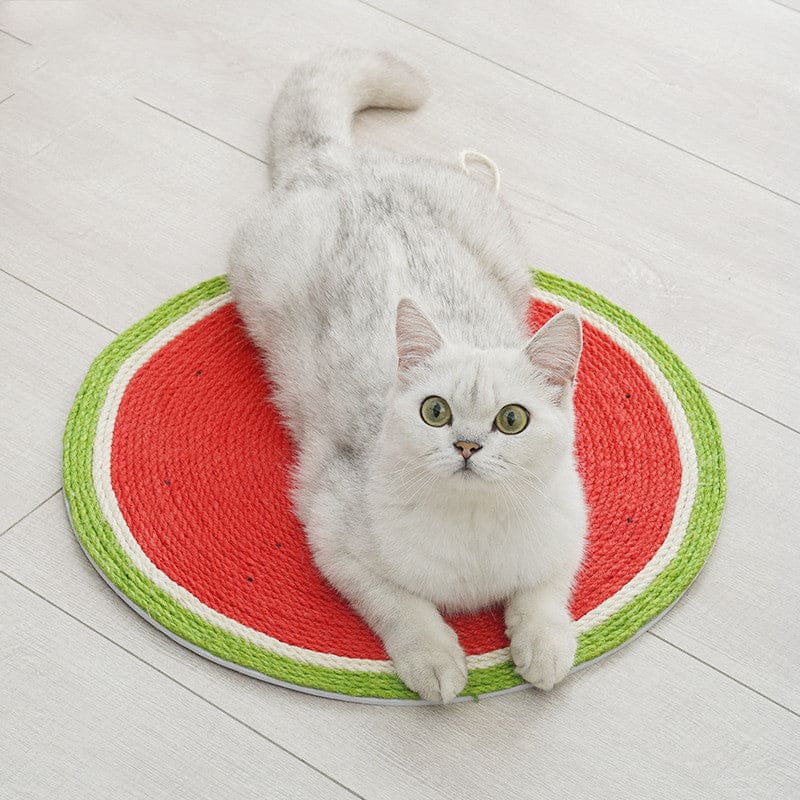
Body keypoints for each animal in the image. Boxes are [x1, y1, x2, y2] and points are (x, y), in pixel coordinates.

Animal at [227, 48, 588, 700]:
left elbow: (543, 594)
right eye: (435, 411)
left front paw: (545, 648)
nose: (467, 445)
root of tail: (339, 162)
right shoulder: (335, 538)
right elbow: (403, 606)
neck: (473, 533)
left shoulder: (567, 529)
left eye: (513, 420)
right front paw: (437, 662)